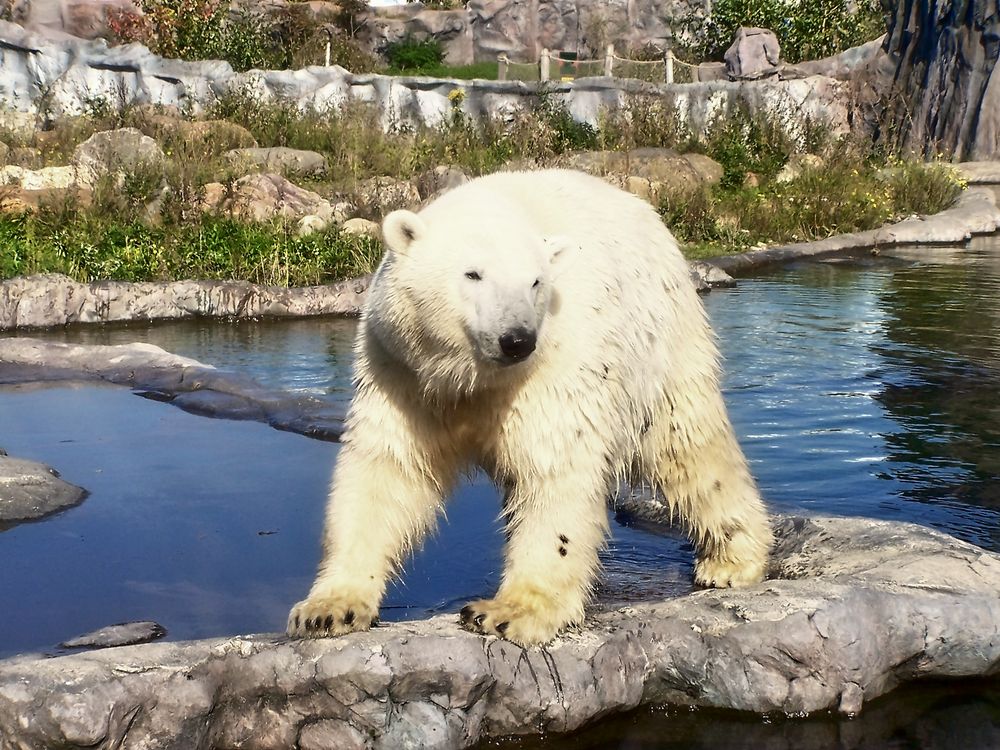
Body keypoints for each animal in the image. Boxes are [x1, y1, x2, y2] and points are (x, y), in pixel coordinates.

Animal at [290, 169, 772, 648]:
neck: (472, 376)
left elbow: (553, 471)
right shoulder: (401, 370)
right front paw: (327, 610)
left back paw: (730, 561)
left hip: (660, 341)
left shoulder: (554, 363)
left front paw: (506, 613)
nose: (517, 339)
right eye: (473, 274)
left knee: (688, 447)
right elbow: (387, 469)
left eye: (536, 281)